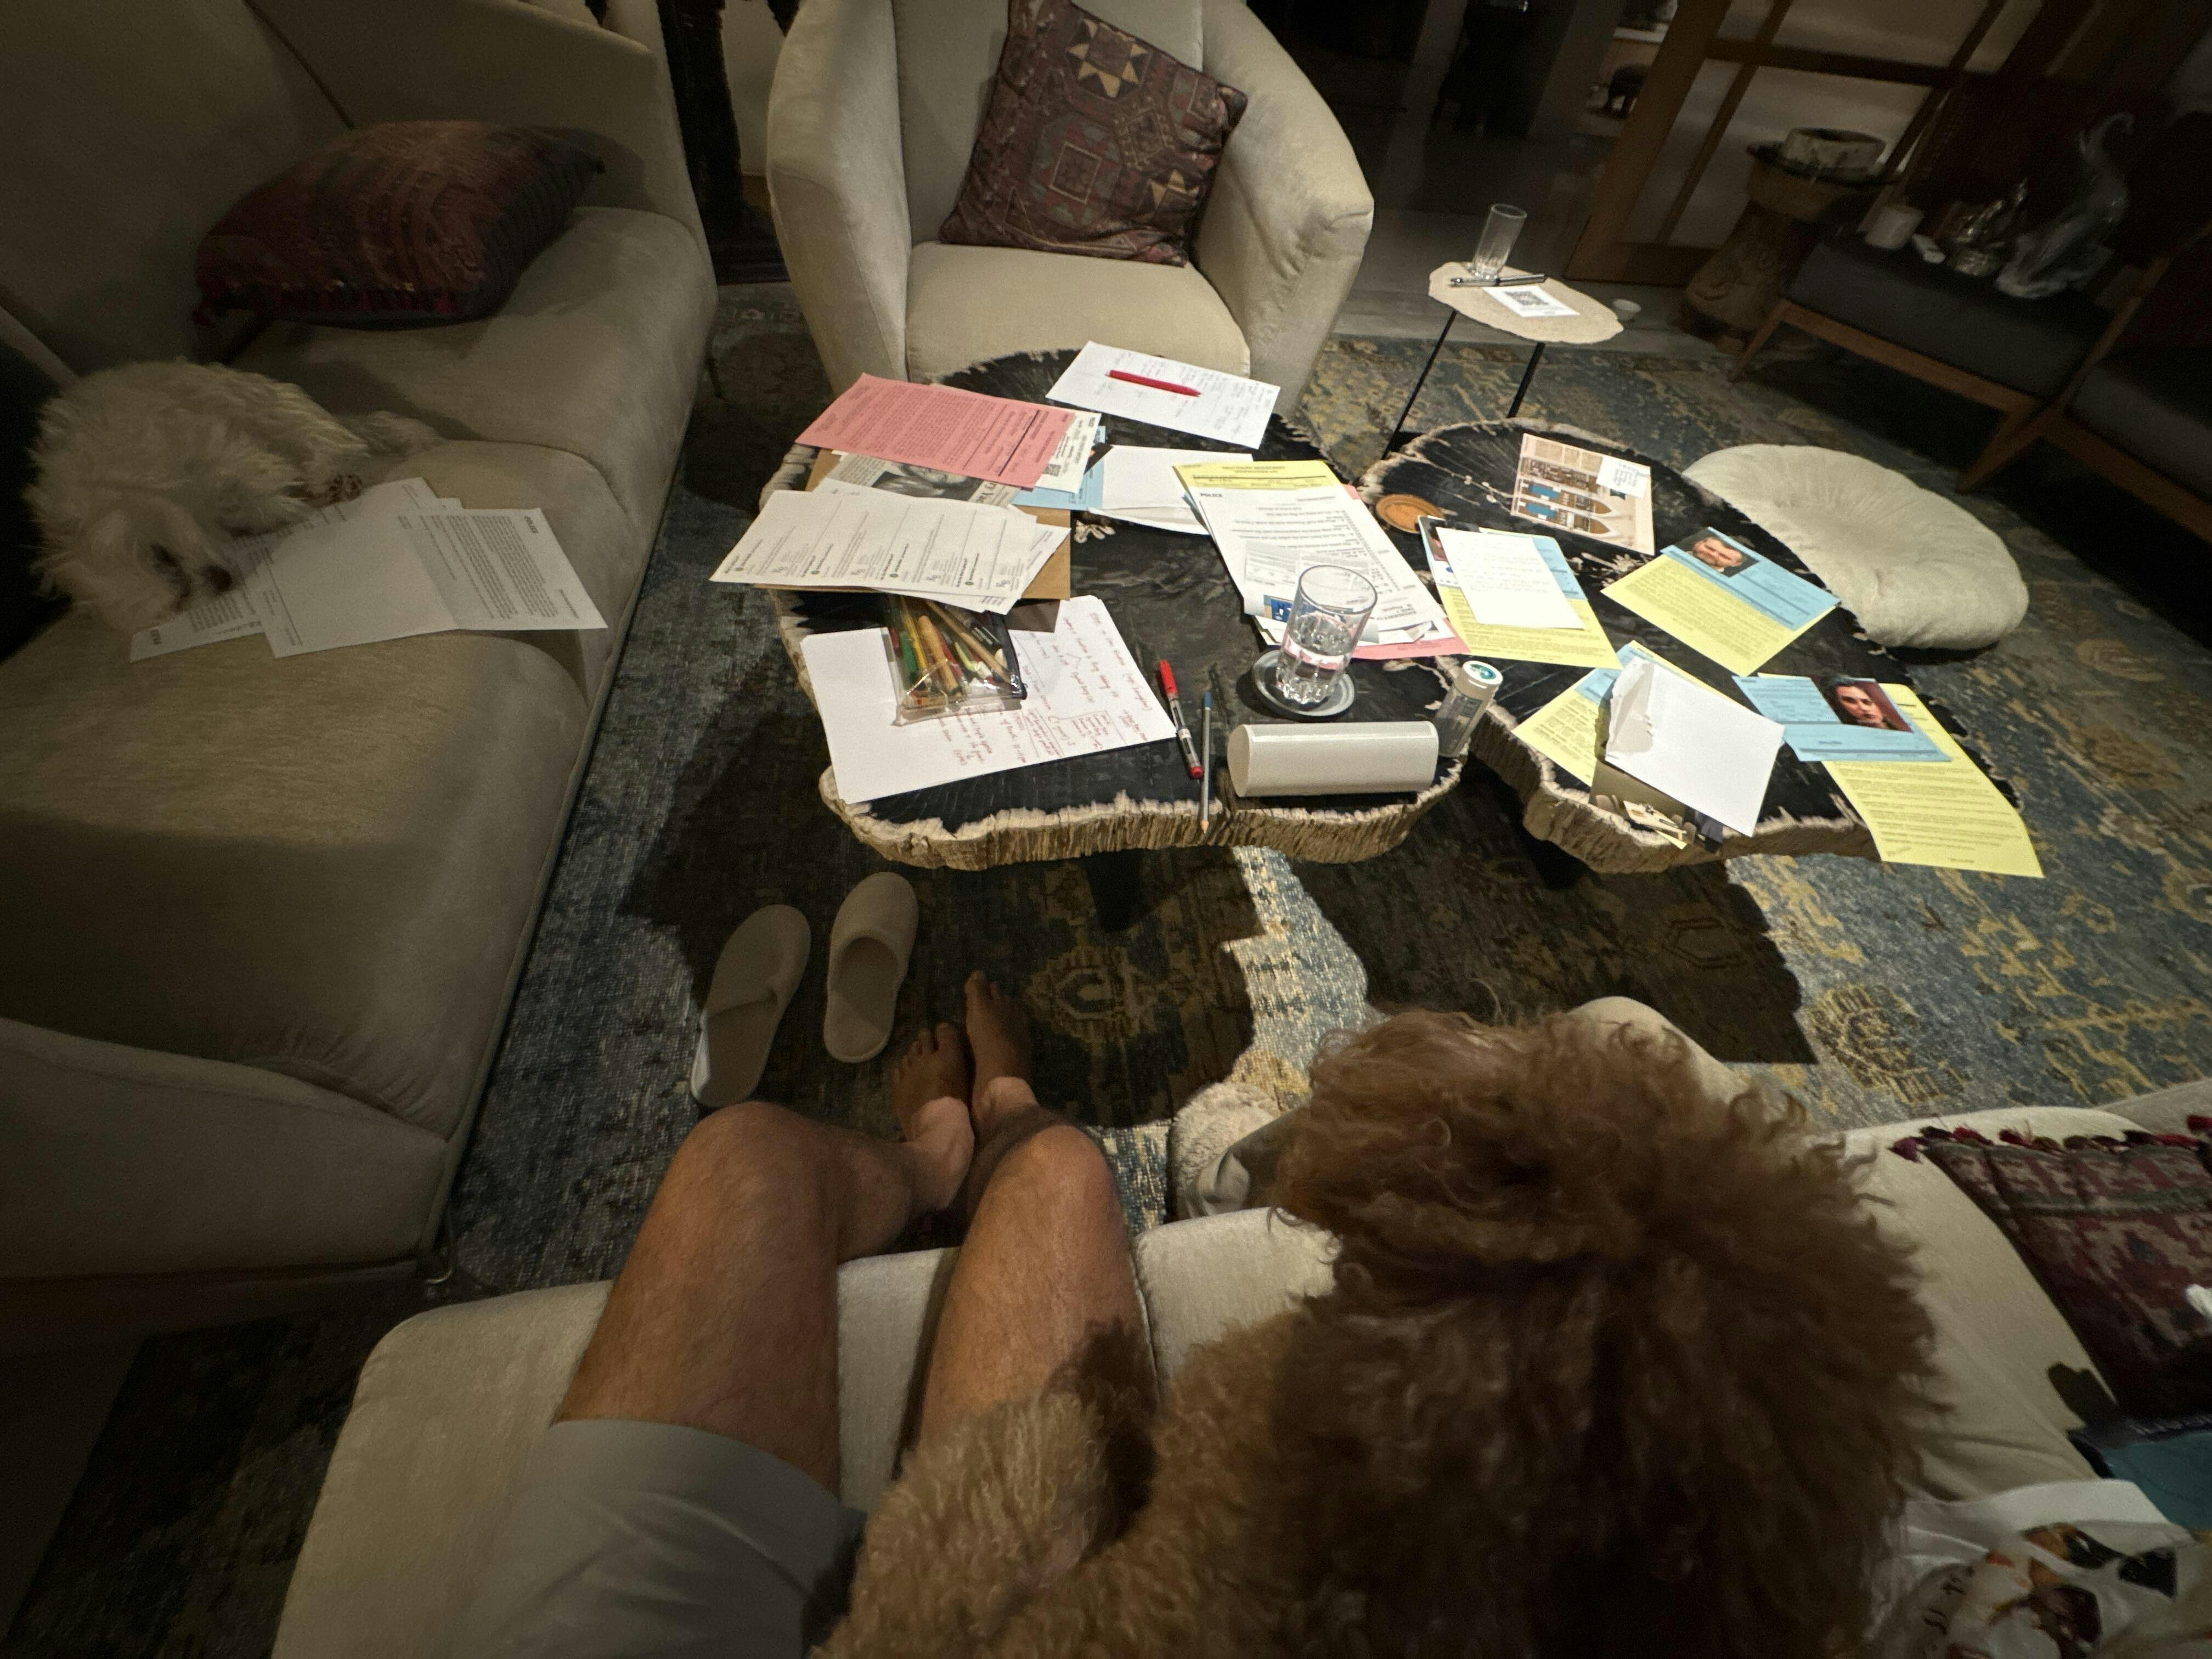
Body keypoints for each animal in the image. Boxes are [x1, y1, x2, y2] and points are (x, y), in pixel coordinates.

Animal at [27, 360, 439, 632]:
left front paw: (283, 497)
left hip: (273, 407)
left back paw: (330, 472)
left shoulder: (206, 441)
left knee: (329, 439)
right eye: (179, 602)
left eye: (161, 556)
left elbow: (249, 478)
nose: (221, 581)